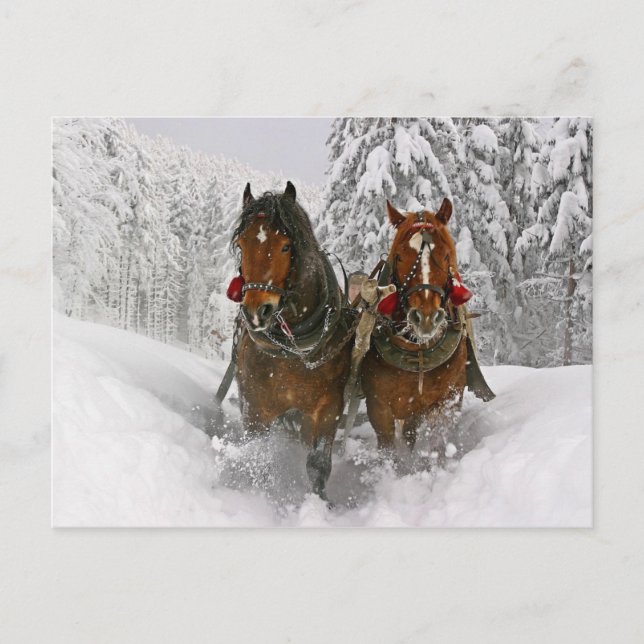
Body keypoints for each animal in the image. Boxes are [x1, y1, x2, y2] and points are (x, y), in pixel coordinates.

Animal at [228, 181, 355, 498]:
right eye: (242, 245)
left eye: (286, 246)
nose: (256, 311)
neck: (293, 349)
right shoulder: (255, 407)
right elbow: (257, 456)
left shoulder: (328, 408)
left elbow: (318, 464)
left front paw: (320, 502)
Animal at [361, 197, 493, 457]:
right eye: (399, 257)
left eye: (445, 255)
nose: (425, 317)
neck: (418, 352)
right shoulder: (378, 407)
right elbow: (389, 450)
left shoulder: (445, 400)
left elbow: (436, 442)